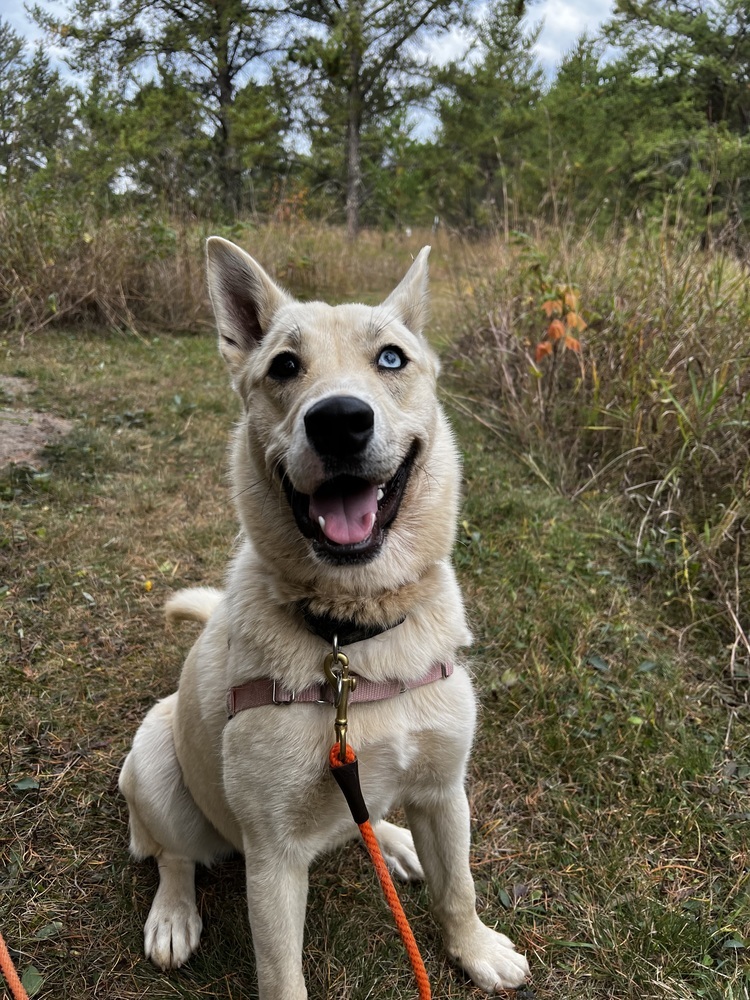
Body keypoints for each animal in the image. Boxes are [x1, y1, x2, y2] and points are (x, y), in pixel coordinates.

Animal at [119, 238, 528, 996]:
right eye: (284, 365)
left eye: (391, 358)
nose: (339, 420)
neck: (352, 633)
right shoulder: (273, 857)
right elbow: (281, 972)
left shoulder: (444, 791)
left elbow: (458, 889)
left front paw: (475, 948)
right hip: (157, 767)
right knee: (173, 855)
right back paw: (173, 915)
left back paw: (391, 840)